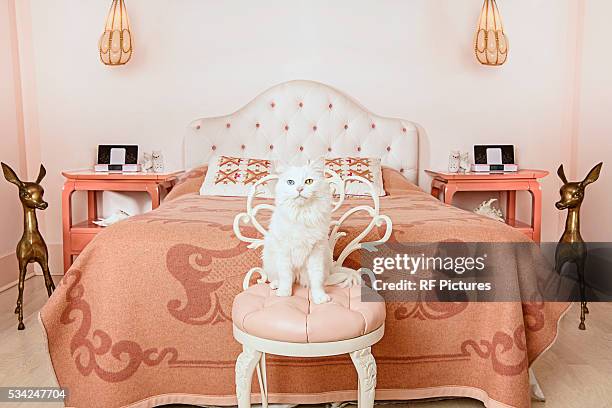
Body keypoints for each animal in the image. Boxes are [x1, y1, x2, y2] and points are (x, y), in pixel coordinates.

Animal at [262, 159, 332, 302]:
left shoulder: (316, 251)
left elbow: (316, 278)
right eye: (290, 182)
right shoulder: (284, 252)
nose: (299, 189)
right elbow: (285, 277)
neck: (301, 215)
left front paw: (319, 297)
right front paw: (284, 293)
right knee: (278, 278)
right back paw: (276, 285)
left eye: (309, 181)